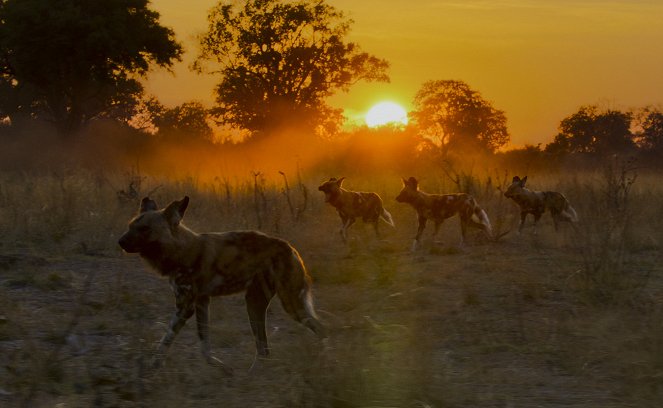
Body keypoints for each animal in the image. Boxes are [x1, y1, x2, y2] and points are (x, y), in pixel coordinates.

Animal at [120, 196, 328, 372]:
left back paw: (323, 362)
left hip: (289, 304)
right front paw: (216, 366)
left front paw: (152, 367)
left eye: (145, 228)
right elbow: (204, 342)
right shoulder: (202, 302)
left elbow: (166, 339)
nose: (120, 241)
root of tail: (291, 248)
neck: (180, 250)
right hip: (254, 303)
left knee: (321, 330)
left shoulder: (185, 306)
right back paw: (252, 375)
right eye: (130, 226)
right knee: (264, 348)